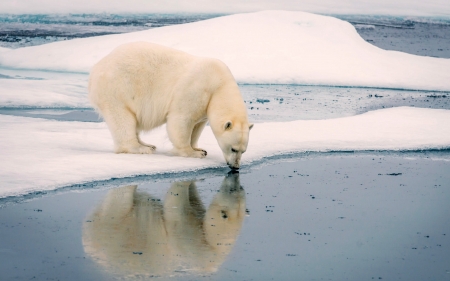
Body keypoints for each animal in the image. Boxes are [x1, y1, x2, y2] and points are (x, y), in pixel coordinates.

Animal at [87, 41, 250, 168]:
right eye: (233, 149)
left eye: (243, 150)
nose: (235, 167)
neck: (218, 85)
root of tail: (96, 68)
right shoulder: (194, 90)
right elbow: (181, 120)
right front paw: (193, 153)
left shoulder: (205, 106)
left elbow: (197, 126)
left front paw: (199, 148)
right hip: (118, 89)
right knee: (122, 119)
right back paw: (140, 148)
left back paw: (148, 144)